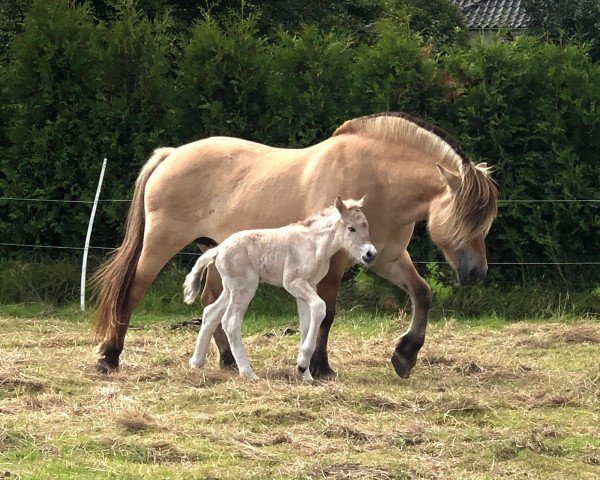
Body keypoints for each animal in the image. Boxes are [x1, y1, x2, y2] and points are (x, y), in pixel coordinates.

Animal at [183, 197, 376, 380]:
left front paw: (305, 373)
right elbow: (319, 308)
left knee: (210, 313)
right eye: (351, 228)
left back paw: (196, 362)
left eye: (366, 225)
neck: (314, 244)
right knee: (230, 321)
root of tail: (219, 248)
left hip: (230, 289)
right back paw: (247, 372)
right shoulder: (293, 282)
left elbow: (306, 323)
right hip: (245, 286)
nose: (370, 254)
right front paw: (302, 365)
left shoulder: (309, 286)